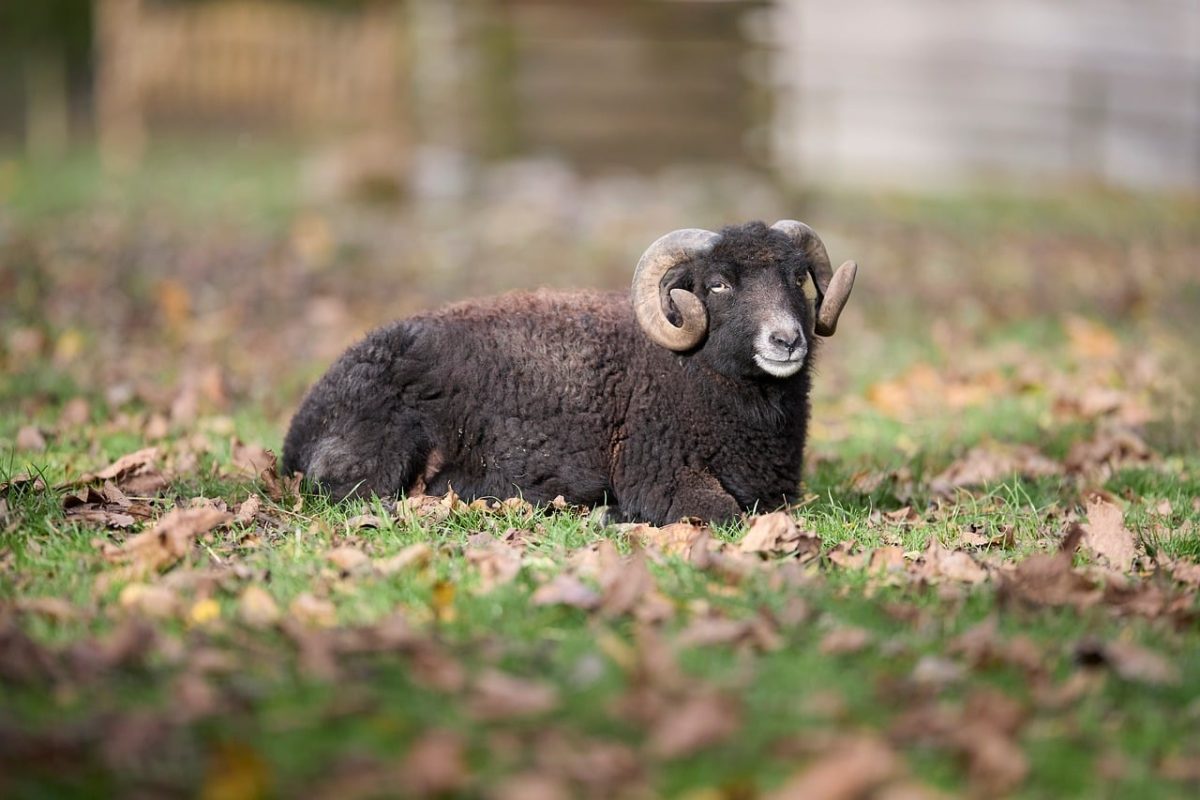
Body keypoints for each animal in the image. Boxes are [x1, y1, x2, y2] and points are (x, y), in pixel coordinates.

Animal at [282, 220, 857, 525]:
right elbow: (724, 512)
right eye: (718, 284)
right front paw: (614, 514)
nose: (786, 340)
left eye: (798, 278)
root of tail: (298, 431)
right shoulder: (659, 475)